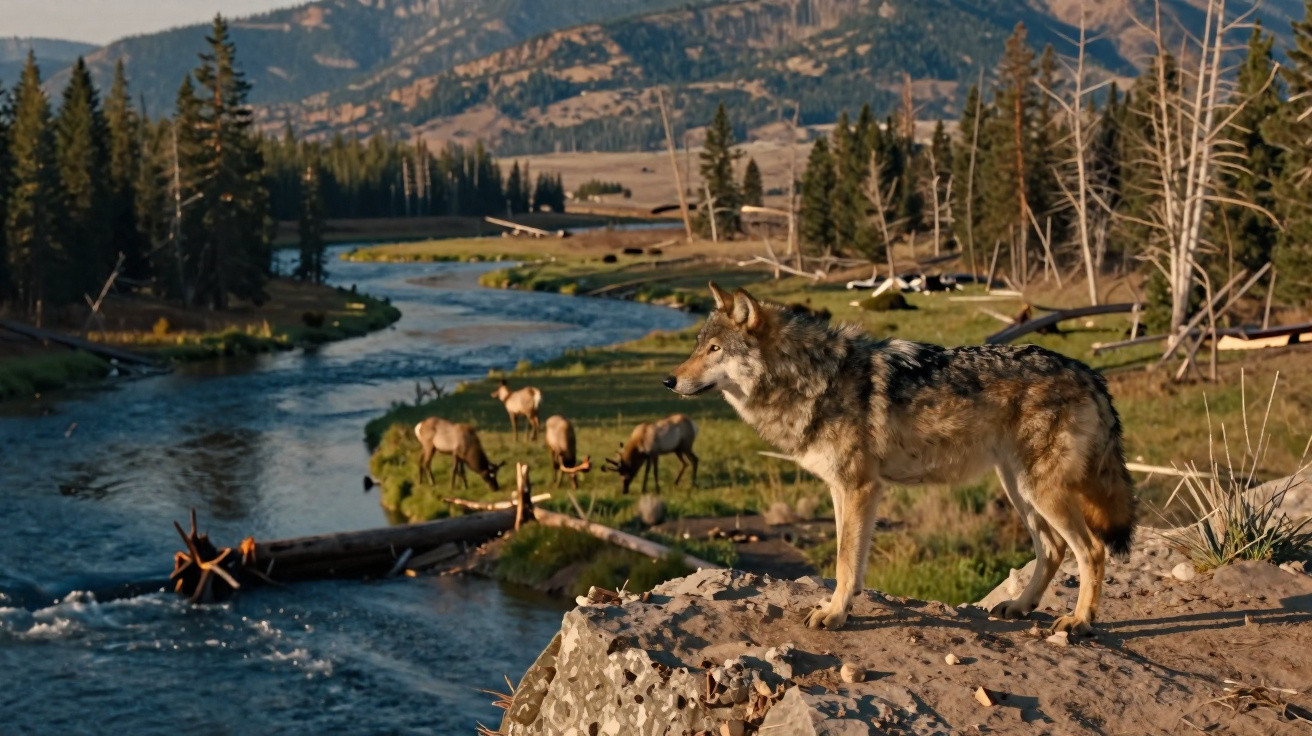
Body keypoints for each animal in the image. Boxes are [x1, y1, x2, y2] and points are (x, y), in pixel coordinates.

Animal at [664, 282, 1135, 634]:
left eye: (714, 349)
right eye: (697, 346)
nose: (668, 380)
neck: (813, 378)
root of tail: (1090, 373)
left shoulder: (860, 487)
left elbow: (844, 558)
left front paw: (834, 614)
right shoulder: (841, 489)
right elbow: (848, 558)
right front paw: (840, 605)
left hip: (1039, 490)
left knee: (1091, 550)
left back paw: (1079, 622)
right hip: (1019, 488)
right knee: (1054, 549)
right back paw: (1020, 606)